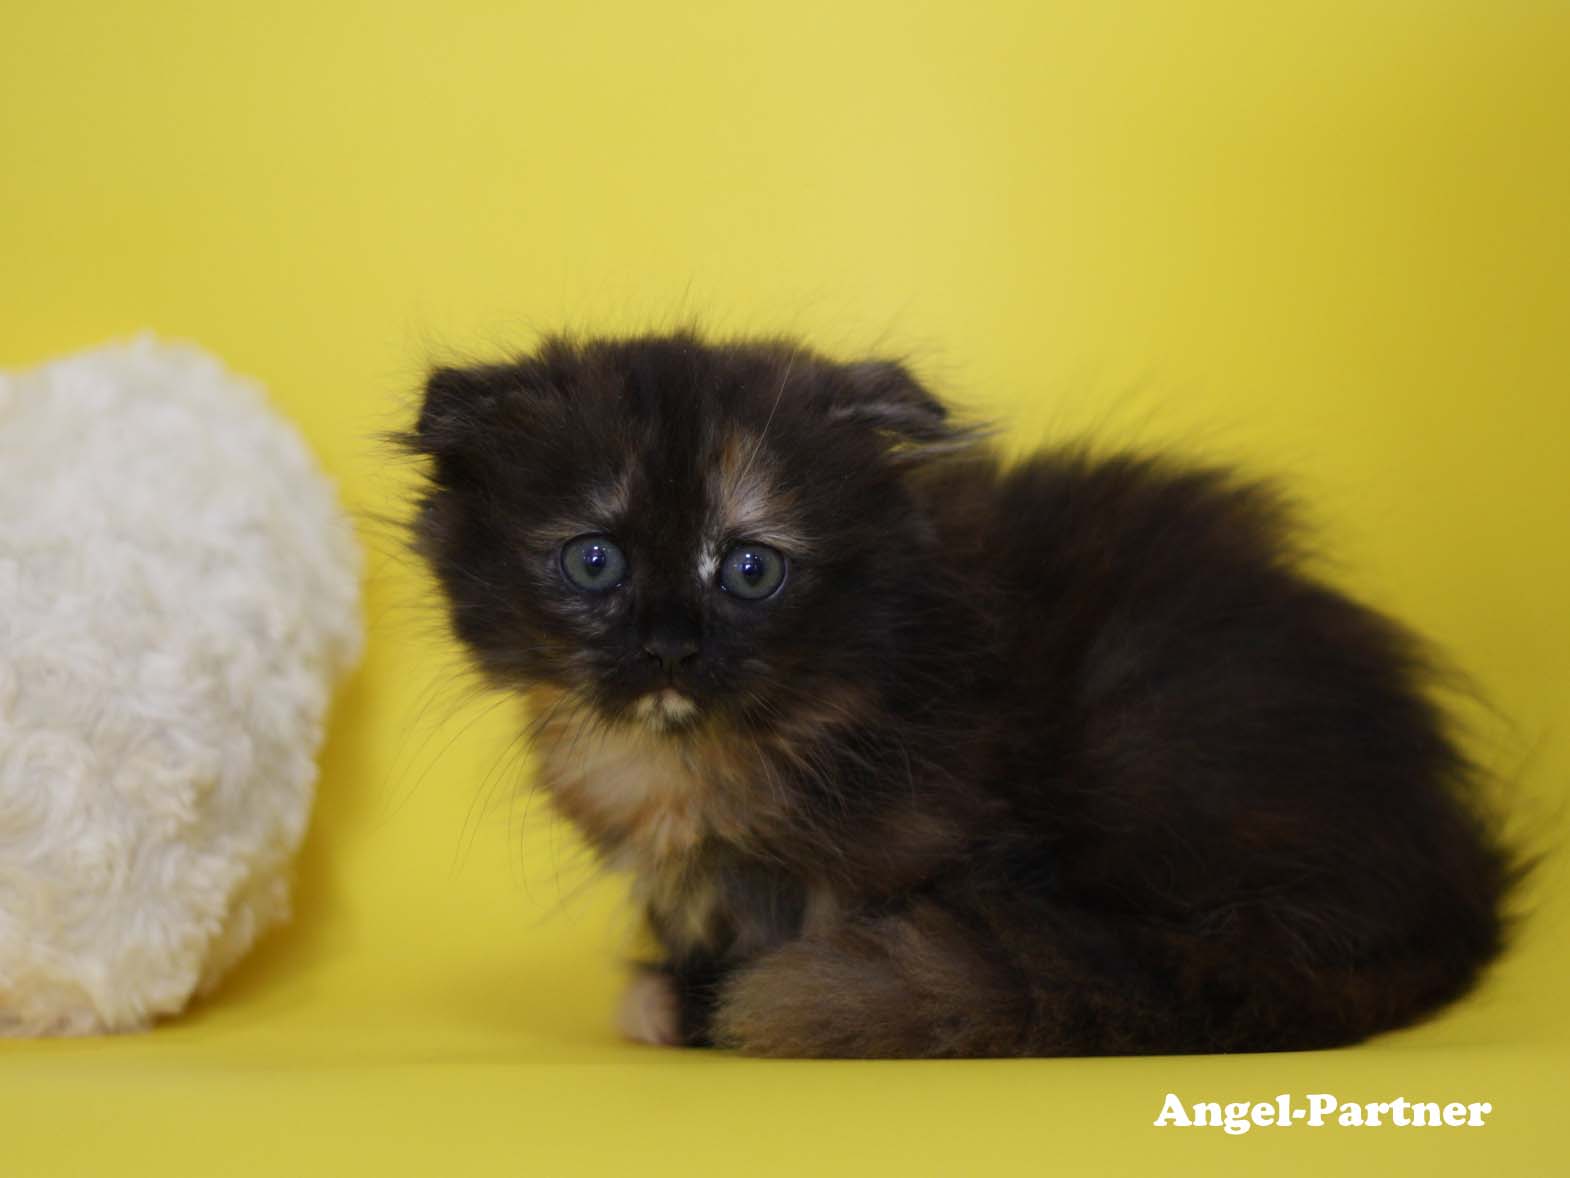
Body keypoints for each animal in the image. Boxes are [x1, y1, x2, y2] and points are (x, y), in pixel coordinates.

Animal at [408, 332, 1519, 1061]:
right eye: (594, 561)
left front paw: (696, 1004)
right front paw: (679, 991)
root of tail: (1452, 896)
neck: (690, 753)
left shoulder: (952, 832)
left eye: (751, 570)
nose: (670, 648)